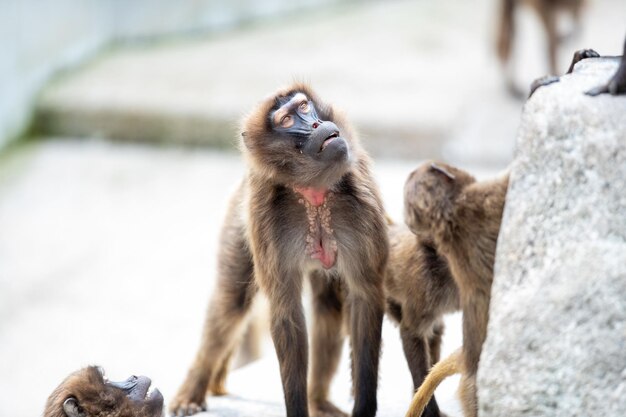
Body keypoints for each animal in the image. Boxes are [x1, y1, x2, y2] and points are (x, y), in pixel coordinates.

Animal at [168, 83, 388, 416]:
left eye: (304, 106)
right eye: (286, 120)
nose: (315, 124)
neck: (314, 193)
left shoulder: (362, 201)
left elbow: (364, 298)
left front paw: (363, 408)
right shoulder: (264, 215)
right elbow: (288, 315)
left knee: (328, 304)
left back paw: (318, 400)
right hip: (240, 217)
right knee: (231, 302)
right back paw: (194, 389)